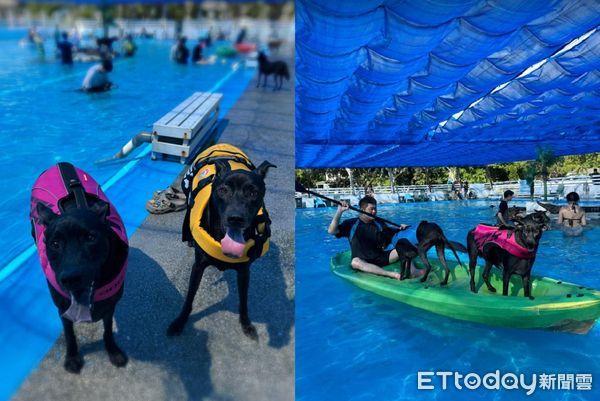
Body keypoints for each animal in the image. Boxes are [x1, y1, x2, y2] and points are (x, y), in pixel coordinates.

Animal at [33, 197, 127, 372]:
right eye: (55, 243)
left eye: (90, 238)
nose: (70, 278)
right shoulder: (63, 310)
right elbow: (69, 334)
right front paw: (71, 357)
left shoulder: (110, 307)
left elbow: (108, 330)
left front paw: (113, 351)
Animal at [166, 144, 274, 338]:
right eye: (223, 190)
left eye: (253, 192)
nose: (236, 218)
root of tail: (222, 145)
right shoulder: (198, 267)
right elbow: (189, 297)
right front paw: (180, 322)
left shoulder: (244, 272)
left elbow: (243, 301)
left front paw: (246, 324)